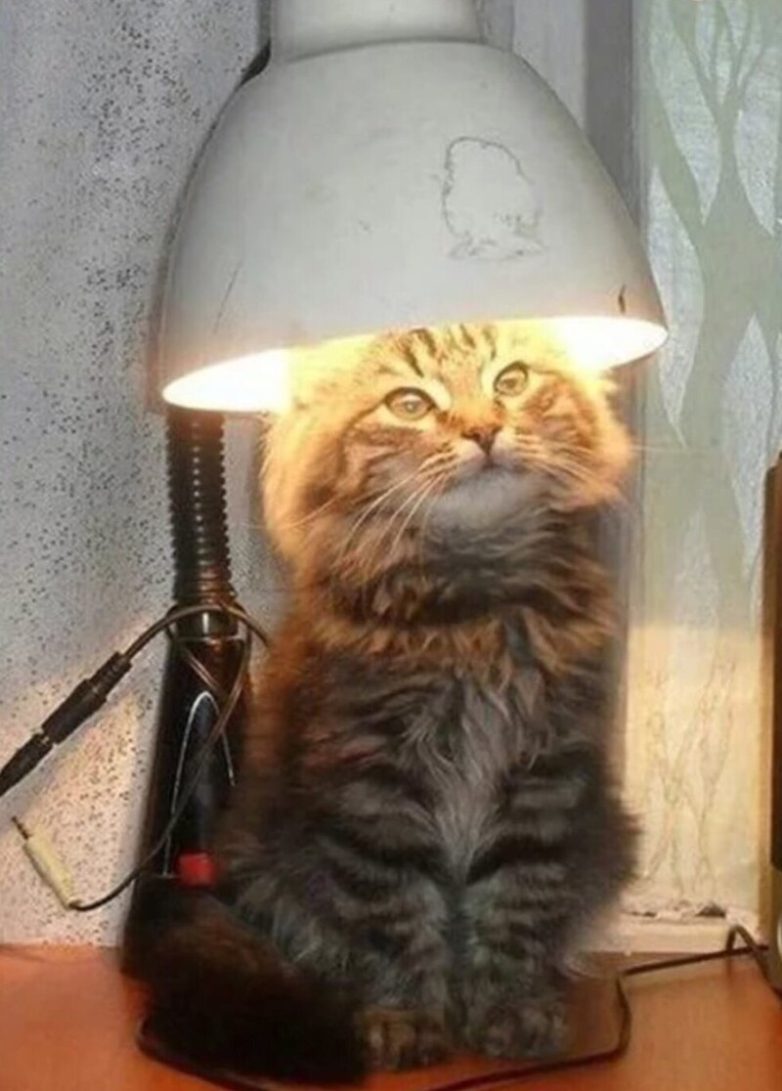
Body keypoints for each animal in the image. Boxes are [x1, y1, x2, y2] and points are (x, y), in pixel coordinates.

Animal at [135, 322, 637, 1083]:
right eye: (410, 404)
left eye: (511, 381)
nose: (484, 430)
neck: (472, 611)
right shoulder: (375, 787)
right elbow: (396, 917)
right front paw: (407, 1017)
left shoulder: (542, 777)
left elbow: (515, 905)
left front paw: (509, 1007)